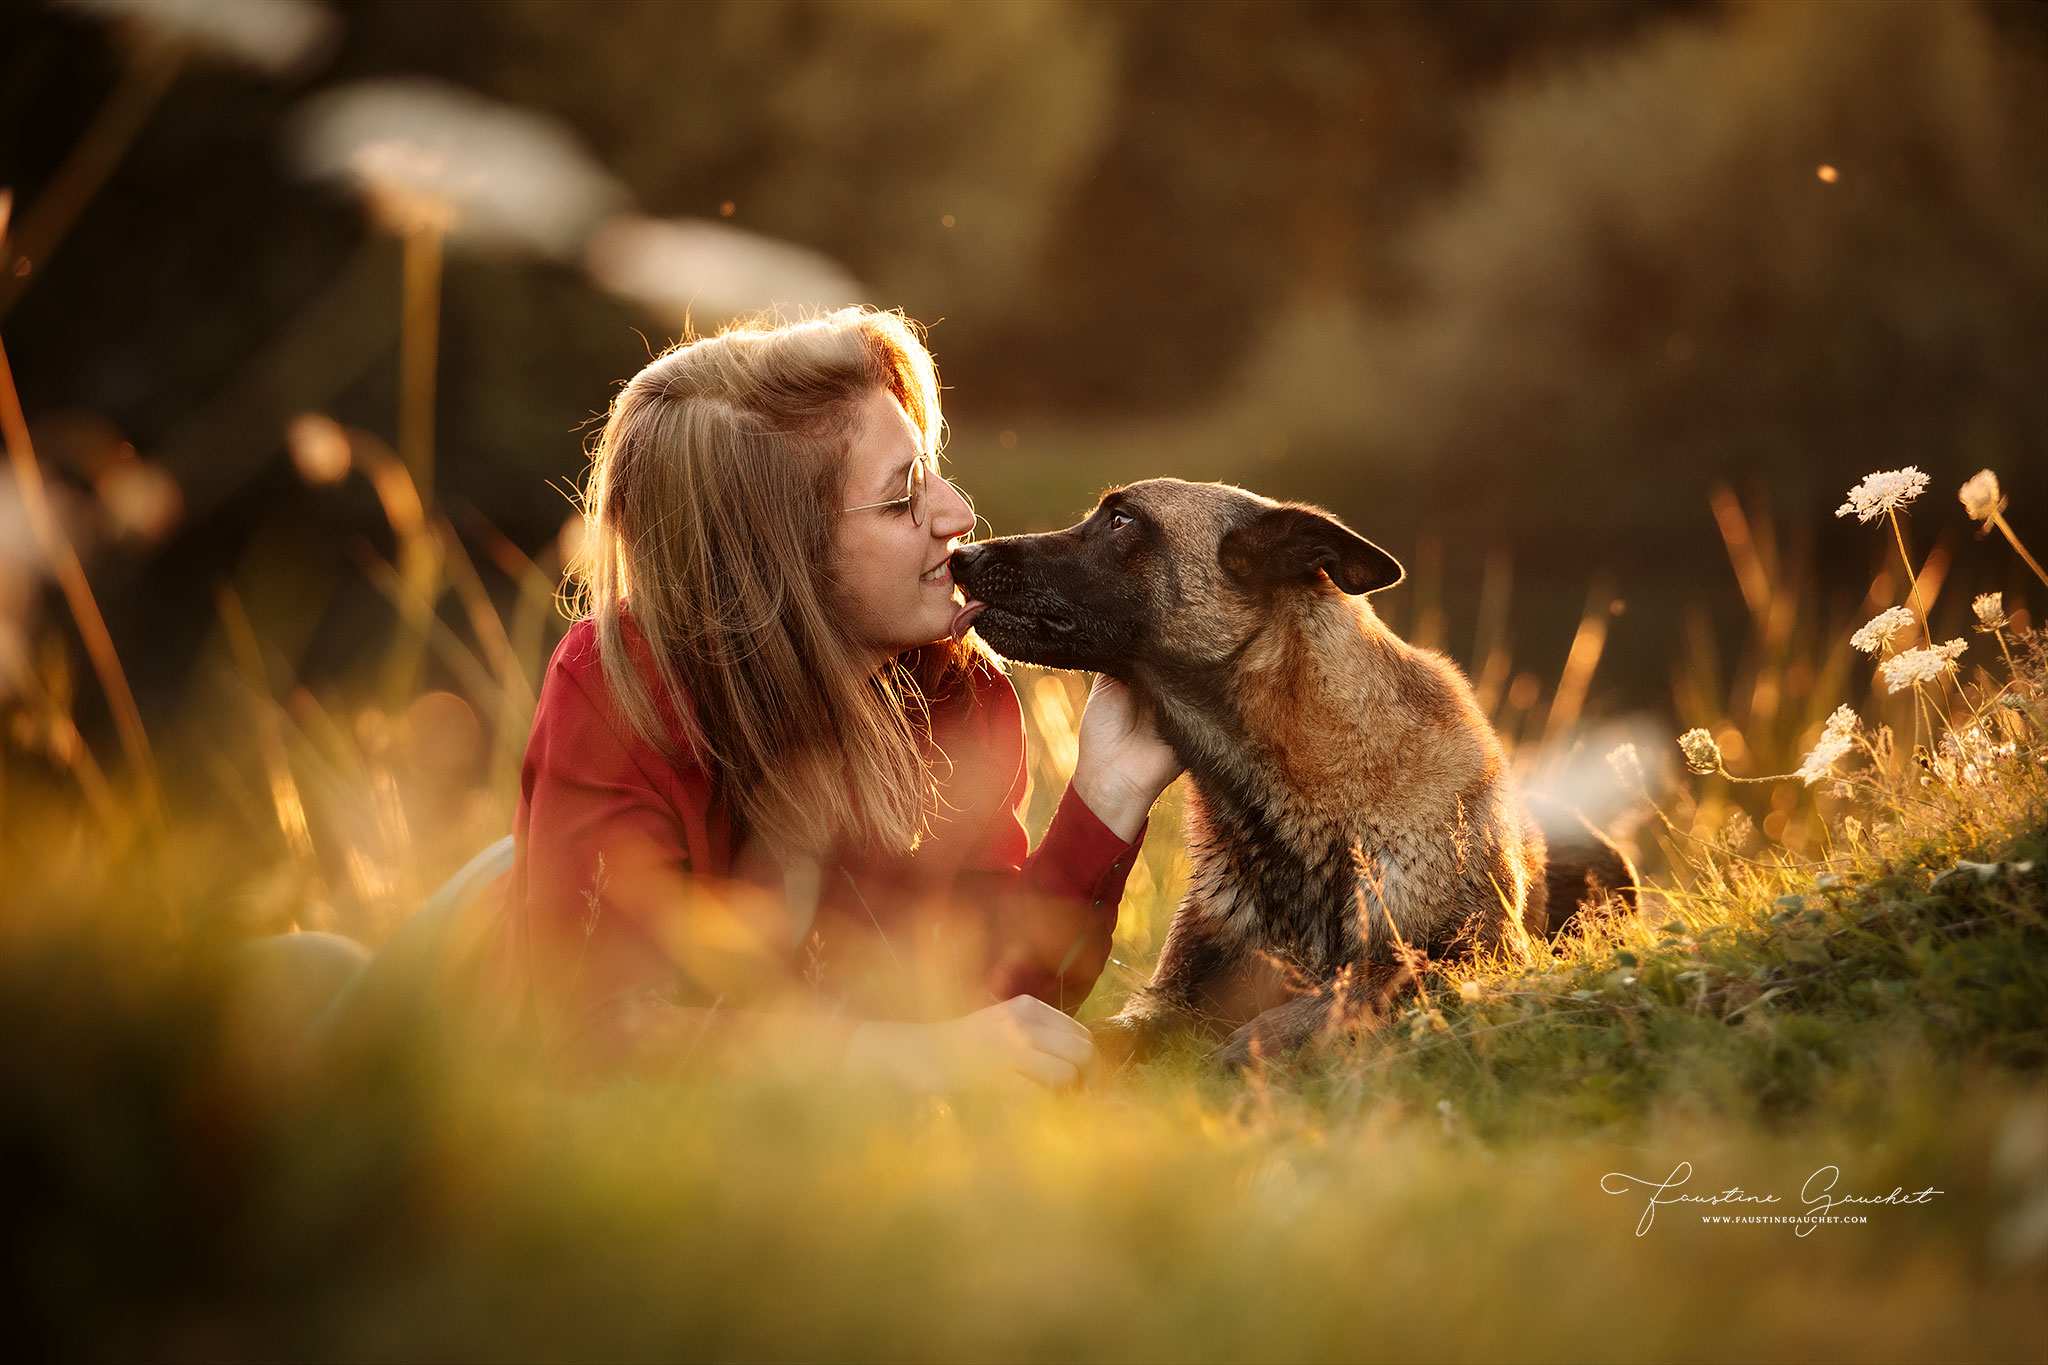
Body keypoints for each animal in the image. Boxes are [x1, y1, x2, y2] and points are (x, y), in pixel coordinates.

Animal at [950, 474, 1638, 1072]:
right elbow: (1110, 1034)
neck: (1300, 815)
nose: (962, 554)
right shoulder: (1173, 994)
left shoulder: (1478, 960)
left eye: (1121, 521)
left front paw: (1250, 1048)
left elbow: (1361, 987)